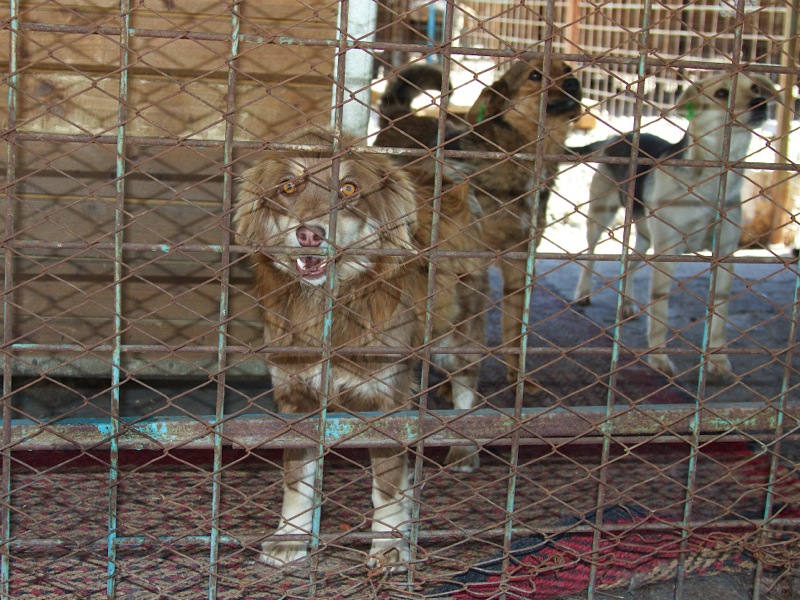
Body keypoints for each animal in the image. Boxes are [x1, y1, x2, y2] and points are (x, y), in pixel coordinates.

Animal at [234, 126, 486, 569]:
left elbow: (387, 487)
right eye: (288, 186)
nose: (310, 234)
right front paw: (290, 538)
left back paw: (462, 449)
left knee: (466, 385)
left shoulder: (385, 398)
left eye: (349, 189)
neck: (328, 305)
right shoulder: (296, 394)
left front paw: (388, 546)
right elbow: (296, 480)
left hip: (456, 335)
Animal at [374, 58, 583, 394]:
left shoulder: (519, 265)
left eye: (568, 69)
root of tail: (400, 116)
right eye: (535, 75)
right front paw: (449, 385)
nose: (575, 83)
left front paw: (518, 378)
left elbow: (515, 331)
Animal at [570, 72, 776, 381]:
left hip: (644, 235)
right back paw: (583, 293)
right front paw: (659, 359)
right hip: (600, 215)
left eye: (755, 88)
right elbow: (660, 315)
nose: (760, 103)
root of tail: (620, 136)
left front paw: (719, 362)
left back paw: (626, 304)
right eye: (722, 93)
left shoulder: (724, 257)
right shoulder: (666, 256)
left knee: (630, 262)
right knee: (590, 253)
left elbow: (719, 318)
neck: (710, 178)